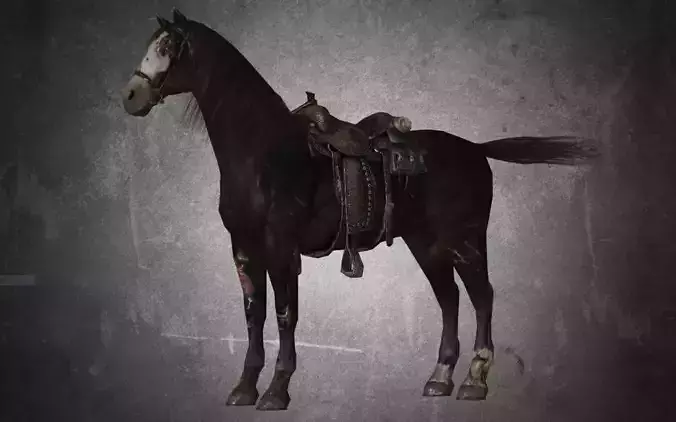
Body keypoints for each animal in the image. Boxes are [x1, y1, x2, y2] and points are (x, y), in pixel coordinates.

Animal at [121, 9, 599, 411]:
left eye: (169, 48)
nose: (131, 95)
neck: (263, 154)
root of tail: (475, 149)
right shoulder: (243, 247)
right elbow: (254, 314)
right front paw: (243, 388)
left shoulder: (280, 247)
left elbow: (286, 314)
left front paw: (277, 391)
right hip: (427, 246)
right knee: (449, 299)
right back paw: (439, 378)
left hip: (465, 241)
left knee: (482, 297)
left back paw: (473, 382)